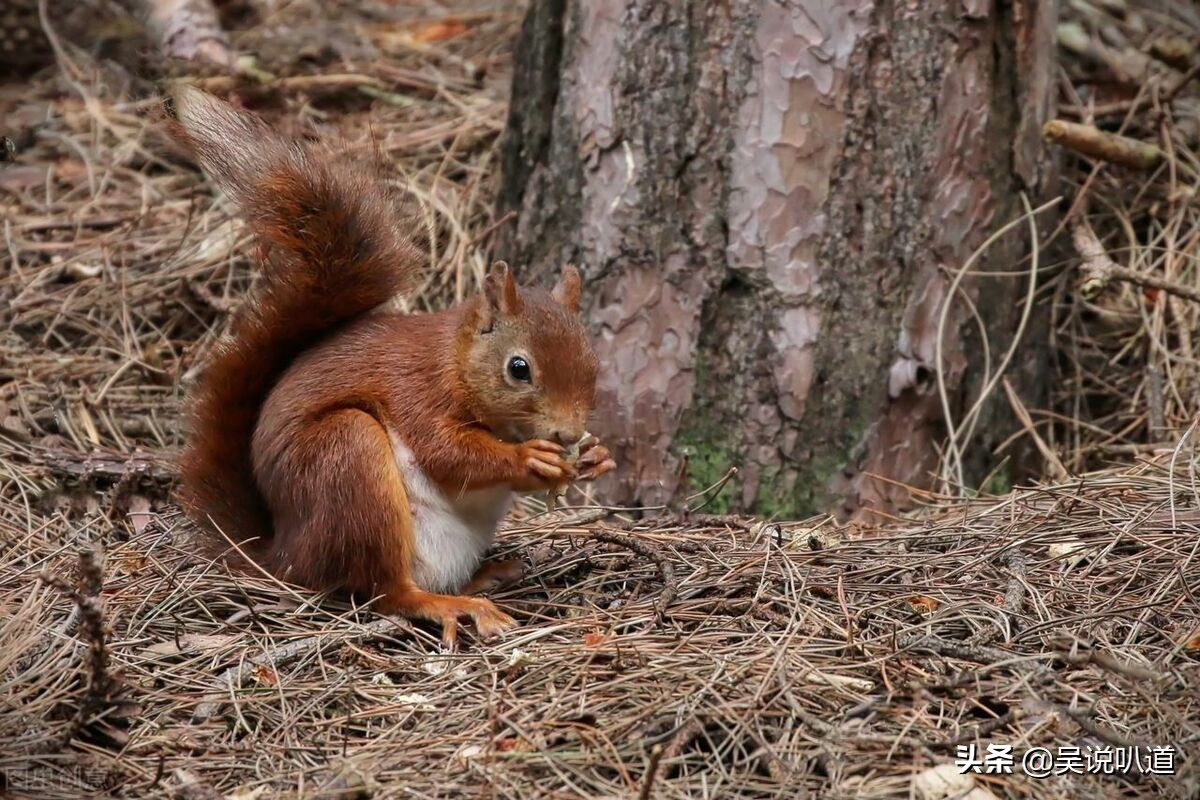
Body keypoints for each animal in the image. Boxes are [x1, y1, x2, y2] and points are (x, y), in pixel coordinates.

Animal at [168, 87, 614, 647]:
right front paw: (528, 459)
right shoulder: (415, 388)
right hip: (347, 462)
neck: (455, 361)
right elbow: (448, 453)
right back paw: (449, 604)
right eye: (519, 368)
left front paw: (596, 456)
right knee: (383, 590)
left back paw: (490, 574)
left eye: (593, 362)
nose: (569, 432)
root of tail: (286, 558)